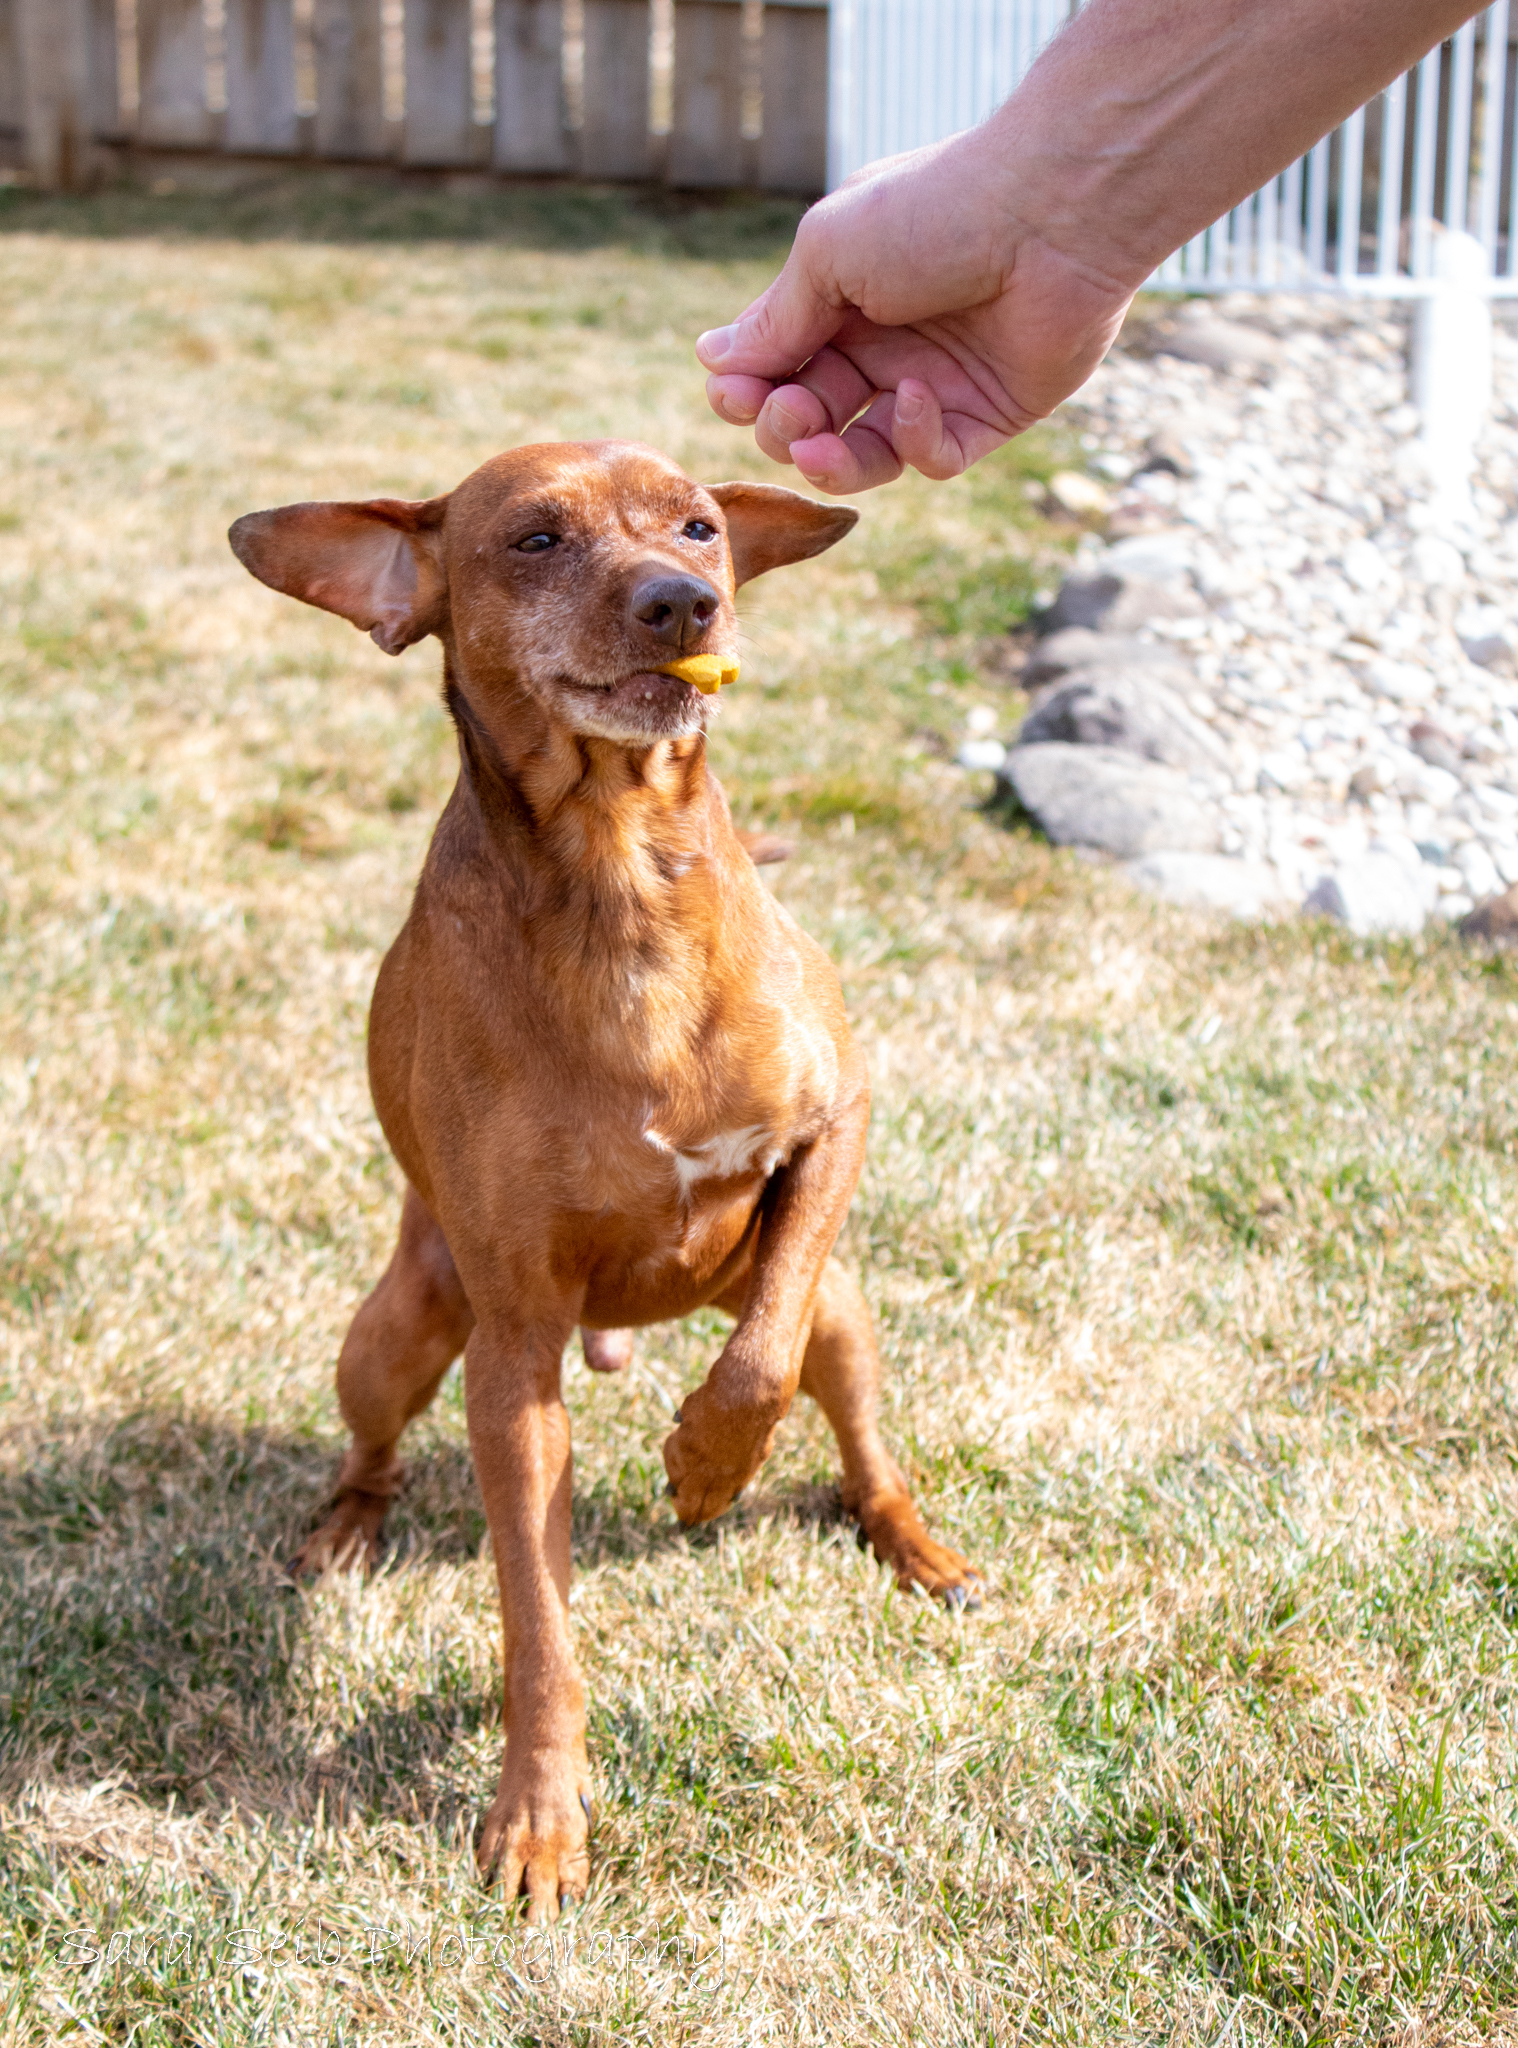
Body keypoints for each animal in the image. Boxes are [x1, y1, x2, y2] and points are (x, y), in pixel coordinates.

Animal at [229, 436, 975, 1916]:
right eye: (533, 539)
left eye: (697, 525)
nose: (684, 600)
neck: (621, 878)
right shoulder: (515, 1356)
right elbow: (538, 1624)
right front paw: (537, 1816)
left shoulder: (837, 1126)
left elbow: (755, 1367)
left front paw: (704, 1466)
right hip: (400, 1327)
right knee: (373, 1443)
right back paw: (343, 1530)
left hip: (847, 1317)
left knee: (854, 1434)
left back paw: (915, 1545)